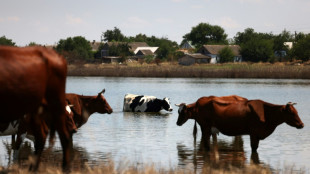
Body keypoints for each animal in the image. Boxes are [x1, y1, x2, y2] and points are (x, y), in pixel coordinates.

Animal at [176, 95, 304, 152]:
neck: (265, 113)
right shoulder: (254, 133)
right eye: (291, 113)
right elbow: (254, 149)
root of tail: (200, 101)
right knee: (206, 144)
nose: (302, 124)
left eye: (296, 112)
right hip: (205, 127)